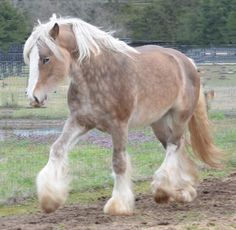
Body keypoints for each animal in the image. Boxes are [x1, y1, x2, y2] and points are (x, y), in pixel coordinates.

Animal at [23, 14, 222, 216]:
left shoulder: (118, 125)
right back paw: (183, 191)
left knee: (174, 145)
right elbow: (57, 149)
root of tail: (187, 61)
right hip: (159, 123)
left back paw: (163, 189)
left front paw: (118, 204)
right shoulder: (80, 121)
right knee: (176, 147)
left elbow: (119, 162)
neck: (99, 76)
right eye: (30, 58)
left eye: (46, 59)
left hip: (180, 117)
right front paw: (50, 200)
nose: (34, 98)